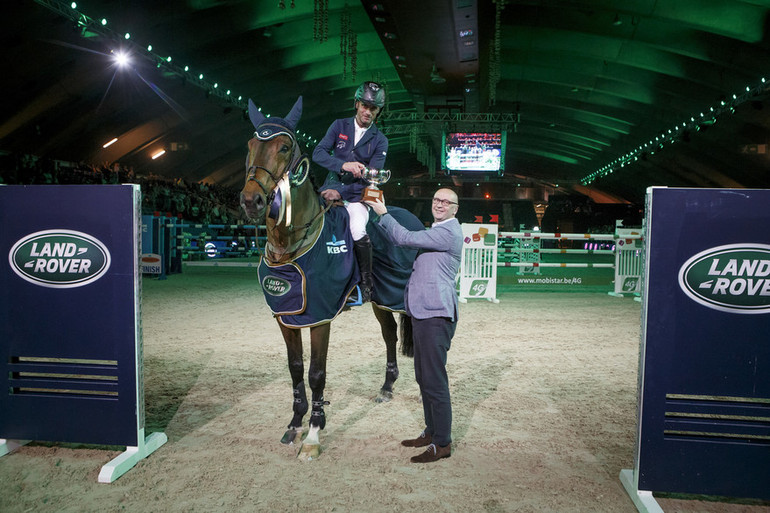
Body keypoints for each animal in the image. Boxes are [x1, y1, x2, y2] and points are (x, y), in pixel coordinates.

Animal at [238, 96, 420, 460]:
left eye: (283, 147)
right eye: (250, 145)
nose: (251, 200)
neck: (291, 243)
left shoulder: (320, 318)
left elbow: (316, 373)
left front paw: (313, 434)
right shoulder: (287, 316)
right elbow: (295, 369)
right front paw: (294, 423)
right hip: (380, 300)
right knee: (389, 335)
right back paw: (386, 387)